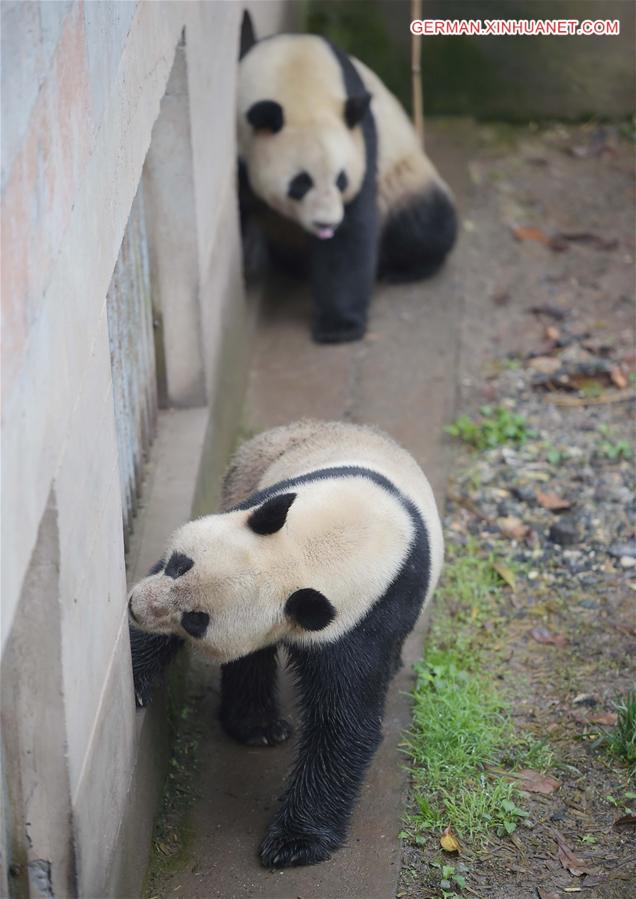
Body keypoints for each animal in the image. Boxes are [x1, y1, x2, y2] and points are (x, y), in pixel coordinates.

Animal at [129, 422, 442, 872]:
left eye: (196, 620)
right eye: (179, 564)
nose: (135, 609)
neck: (316, 550)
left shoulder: (370, 613)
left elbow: (344, 721)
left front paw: (294, 843)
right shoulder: (252, 507)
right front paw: (135, 675)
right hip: (246, 474)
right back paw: (257, 727)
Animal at [237, 33, 458, 342]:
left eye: (341, 179)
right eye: (300, 183)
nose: (325, 223)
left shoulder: (361, 139)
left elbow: (352, 231)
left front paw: (338, 326)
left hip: (403, 178)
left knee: (423, 221)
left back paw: (409, 268)